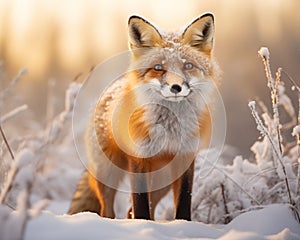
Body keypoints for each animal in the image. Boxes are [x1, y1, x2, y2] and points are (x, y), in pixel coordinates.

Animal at [69, 12, 221, 220]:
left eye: (188, 66)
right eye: (158, 68)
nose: (176, 87)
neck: (169, 128)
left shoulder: (185, 156)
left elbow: (184, 200)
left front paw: (183, 223)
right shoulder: (139, 157)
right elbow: (141, 204)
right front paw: (143, 223)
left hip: (162, 181)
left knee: (130, 210)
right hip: (107, 173)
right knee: (107, 210)